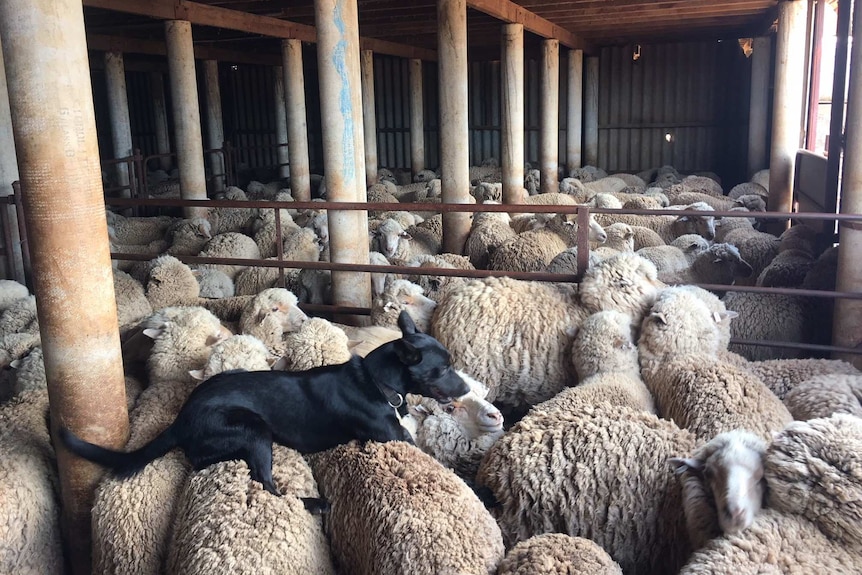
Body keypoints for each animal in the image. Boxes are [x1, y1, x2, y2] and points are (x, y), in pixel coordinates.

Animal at [60, 308, 470, 502]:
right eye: (443, 368)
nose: (466, 388)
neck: (376, 381)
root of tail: (182, 418)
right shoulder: (396, 438)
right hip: (254, 430)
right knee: (265, 484)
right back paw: (312, 505)